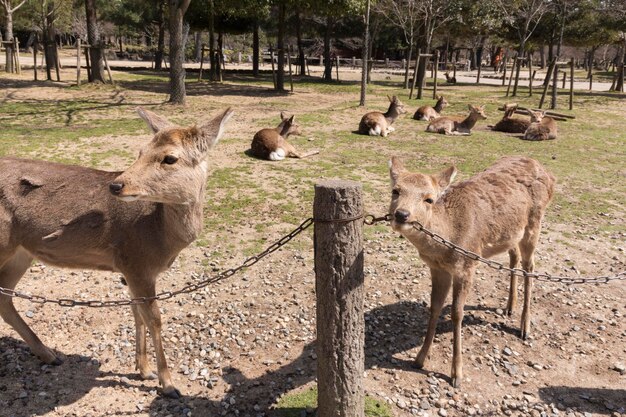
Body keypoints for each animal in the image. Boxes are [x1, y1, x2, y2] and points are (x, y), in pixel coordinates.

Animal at [0, 105, 233, 398]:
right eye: (140, 151)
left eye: (170, 158)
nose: (117, 184)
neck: (159, 236)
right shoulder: (136, 262)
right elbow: (154, 318)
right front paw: (168, 384)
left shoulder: (130, 268)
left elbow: (137, 313)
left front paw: (143, 370)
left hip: (22, 252)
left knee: (4, 297)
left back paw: (49, 354)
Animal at [388, 155, 552, 386]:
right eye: (396, 190)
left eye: (429, 199)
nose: (402, 214)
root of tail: (547, 173)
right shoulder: (438, 269)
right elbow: (435, 307)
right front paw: (419, 359)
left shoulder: (467, 265)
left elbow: (457, 313)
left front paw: (456, 374)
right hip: (511, 233)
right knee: (514, 256)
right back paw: (509, 307)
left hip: (534, 223)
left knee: (529, 266)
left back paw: (524, 328)